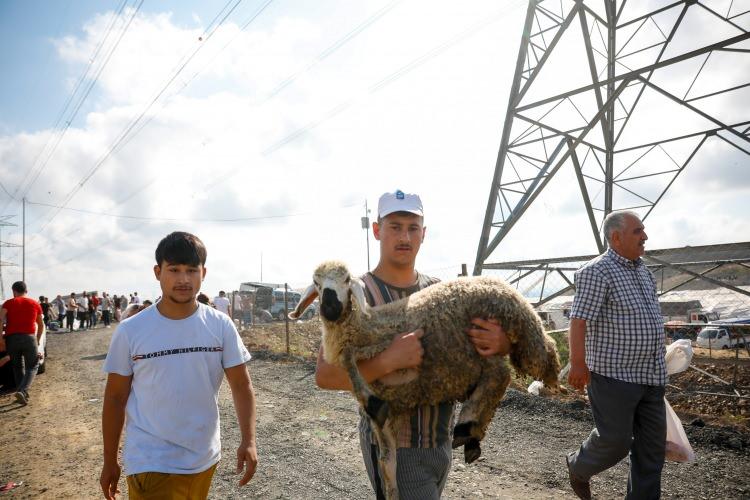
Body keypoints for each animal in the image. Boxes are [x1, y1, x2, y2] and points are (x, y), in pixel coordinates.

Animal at [290, 262, 560, 500]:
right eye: (316, 283)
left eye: (346, 280)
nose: (330, 308)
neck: (364, 325)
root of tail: (499, 283)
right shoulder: (388, 418)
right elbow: (386, 465)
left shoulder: (384, 349)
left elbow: (349, 358)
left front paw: (371, 402)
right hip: (476, 352)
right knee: (497, 376)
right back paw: (469, 433)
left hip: (508, 336)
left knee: (512, 370)